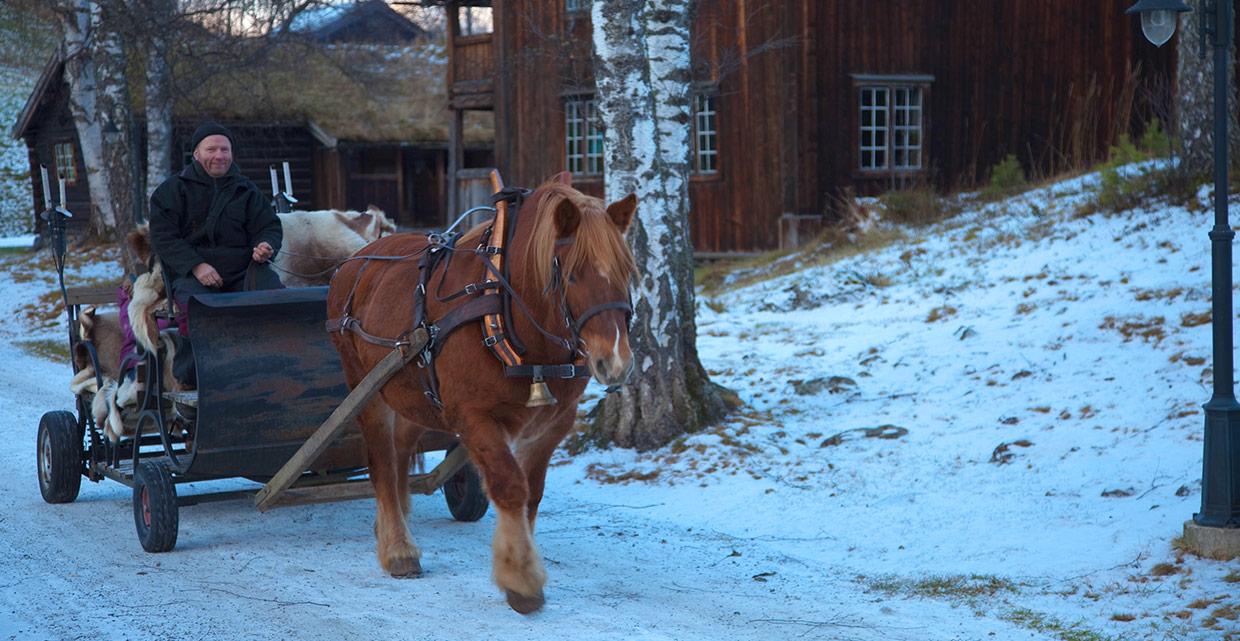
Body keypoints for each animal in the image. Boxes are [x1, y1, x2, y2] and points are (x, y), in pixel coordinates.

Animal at [327, 174, 639, 610]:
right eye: (573, 275)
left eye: (627, 272)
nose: (615, 361)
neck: (507, 316)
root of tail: (355, 261)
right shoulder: (471, 417)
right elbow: (509, 485)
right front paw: (520, 577)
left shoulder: (553, 424)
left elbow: (532, 493)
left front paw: (523, 562)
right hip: (365, 386)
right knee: (381, 462)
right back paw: (398, 547)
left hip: (412, 391)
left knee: (401, 446)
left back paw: (394, 521)